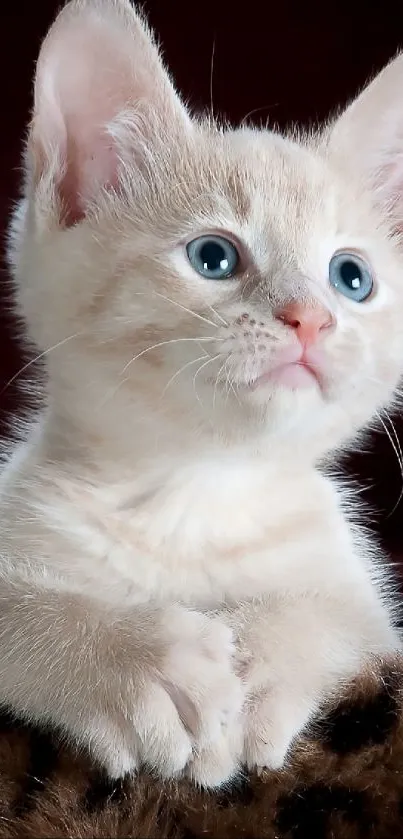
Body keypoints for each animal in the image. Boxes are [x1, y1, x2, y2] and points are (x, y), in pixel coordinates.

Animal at [0, 0, 403, 792]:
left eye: (351, 277)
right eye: (213, 257)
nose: (311, 317)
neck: (193, 492)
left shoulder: (369, 612)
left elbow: (336, 614)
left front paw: (262, 664)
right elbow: (16, 608)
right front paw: (130, 660)